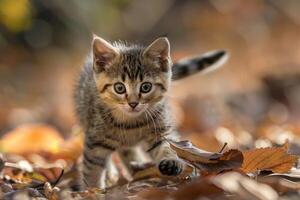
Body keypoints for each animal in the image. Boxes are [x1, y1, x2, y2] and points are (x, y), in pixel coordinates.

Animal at [74, 34, 227, 189]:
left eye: (146, 87)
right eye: (119, 88)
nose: (133, 103)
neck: (131, 123)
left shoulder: (160, 129)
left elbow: (167, 146)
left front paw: (171, 161)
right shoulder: (95, 139)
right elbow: (92, 169)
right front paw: (92, 190)